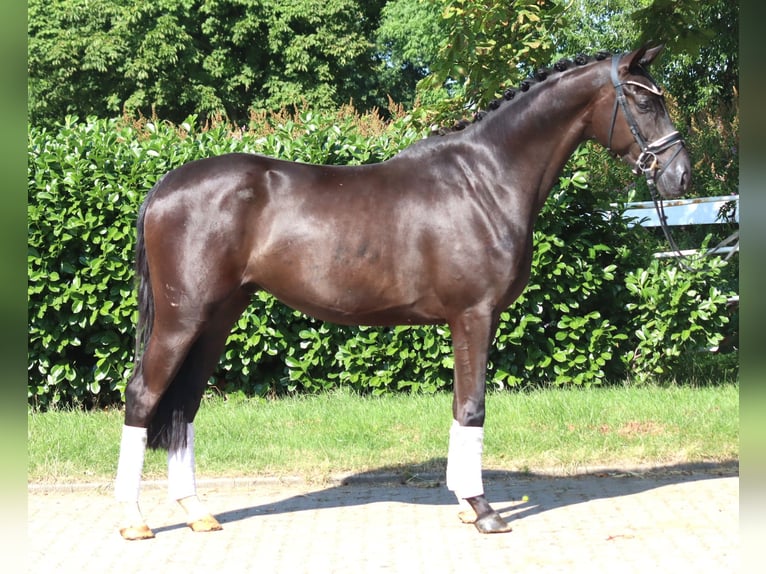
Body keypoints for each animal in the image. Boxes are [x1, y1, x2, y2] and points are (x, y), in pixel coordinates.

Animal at [115, 45, 690, 539]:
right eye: (644, 100)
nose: (681, 175)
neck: (486, 181)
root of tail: (163, 188)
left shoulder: (467, 320)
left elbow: (459, 405)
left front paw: (464, 503)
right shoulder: (475, 315)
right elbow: (473, 407)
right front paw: (483, 511)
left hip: (217, 318)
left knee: (184, 405)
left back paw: (196, 512)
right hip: (182, 319)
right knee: (143, 395)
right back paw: (133, 520)